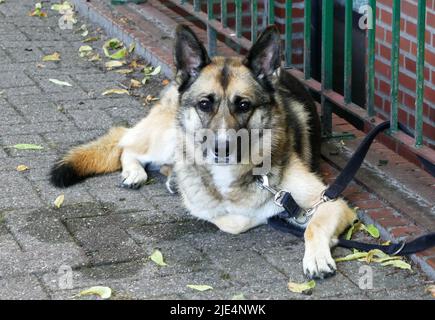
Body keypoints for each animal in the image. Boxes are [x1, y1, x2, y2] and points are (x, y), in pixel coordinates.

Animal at [51, 25, 358, 278]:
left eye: (243, 105)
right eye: (204, 104)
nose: (221, 148)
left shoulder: (331, 203)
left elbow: (313, 225)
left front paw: (317, 256)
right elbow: (234, 219)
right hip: (167, 138)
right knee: (126, 144)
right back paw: (137, 173)